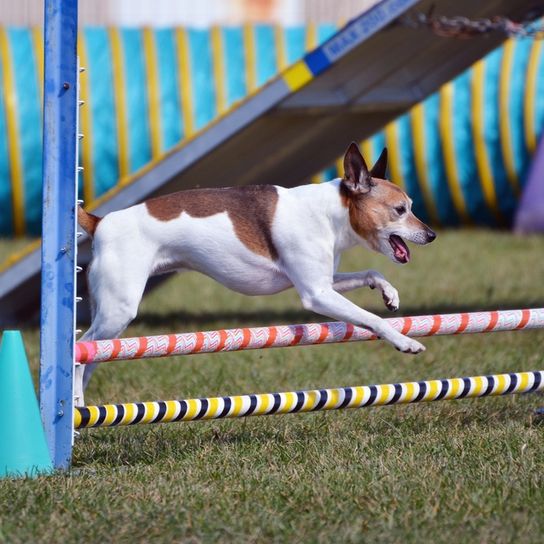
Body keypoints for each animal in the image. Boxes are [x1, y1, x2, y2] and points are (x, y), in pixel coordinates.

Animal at [76, 142, 436, 406]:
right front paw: (405, 342)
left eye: (412, 206)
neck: (331, 213)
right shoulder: (317, 295)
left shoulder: (322, 283)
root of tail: (101, 222)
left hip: (113, 321)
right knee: (81, 349)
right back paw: (76, 400)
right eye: (400, 210)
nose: (431, 235)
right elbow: (372, 319)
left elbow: (372, 273)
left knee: (93, 355)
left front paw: (390, 294)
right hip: (118, 310)